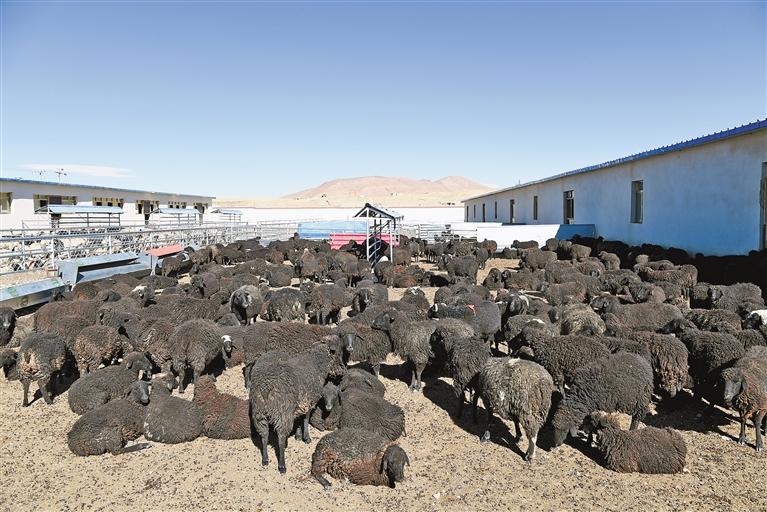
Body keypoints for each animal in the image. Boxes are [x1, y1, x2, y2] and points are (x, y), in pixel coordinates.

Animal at [249, 336, 347, 473]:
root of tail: (265, 387)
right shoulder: (310, 400)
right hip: (282, 413)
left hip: (259, 413)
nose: (342, 371)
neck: (316, 364)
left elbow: (300, 418)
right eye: (338, 353)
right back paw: (282, 465)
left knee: (264, 435)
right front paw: (306, 437)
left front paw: (298, 434)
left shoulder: (300, 403)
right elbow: (305, 419)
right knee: (280, 438)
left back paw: (265, 459)